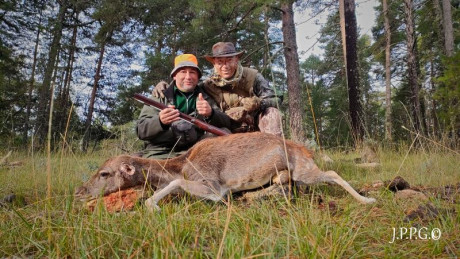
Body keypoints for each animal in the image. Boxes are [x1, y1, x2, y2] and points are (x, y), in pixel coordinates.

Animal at [75, 132, 376, 211]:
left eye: (104, 173)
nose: (79, 192)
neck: (179, 166)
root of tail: (306, 150)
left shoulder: (215, 188)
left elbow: (175, 186)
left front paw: (153, 206)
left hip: (305, 170)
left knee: (332, 173)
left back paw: (368, 199)